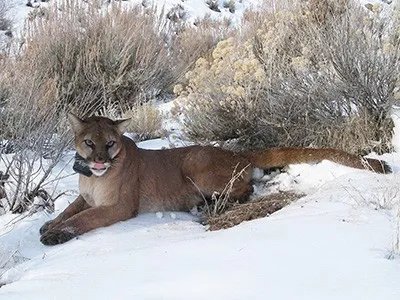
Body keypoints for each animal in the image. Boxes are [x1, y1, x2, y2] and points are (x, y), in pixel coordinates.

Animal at [39, 113, 390, 245]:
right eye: (89, 142)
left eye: (110, 143)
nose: (99, 160)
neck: (94, 179)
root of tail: (239, 153)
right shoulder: (86, 196)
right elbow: (71, 209)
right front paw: (49, 224)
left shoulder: (119, 206)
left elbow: (84, 218)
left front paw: (55, 234)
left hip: (194, 165)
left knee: (246, 186)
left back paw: (210, 204)